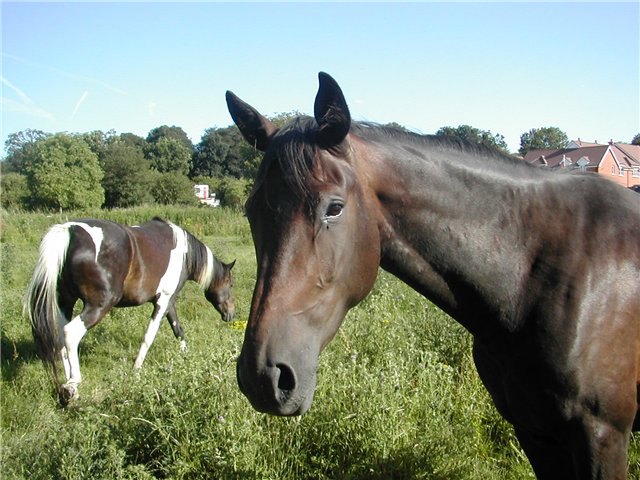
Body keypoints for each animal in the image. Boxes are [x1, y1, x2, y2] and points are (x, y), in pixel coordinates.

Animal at [25, 217, 236, 402]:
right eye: (230, 283)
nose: (231, 314)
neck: (184, 253)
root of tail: (71, 231)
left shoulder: (168, 302)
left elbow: (178, 330)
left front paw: (185, 356)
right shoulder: (163, 301)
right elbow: (149, 337)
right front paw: (137, 369)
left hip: (65, 302)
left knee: (61, 337)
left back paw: (68, 385)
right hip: (99, 305)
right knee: (71, 333)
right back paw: (74, 383)